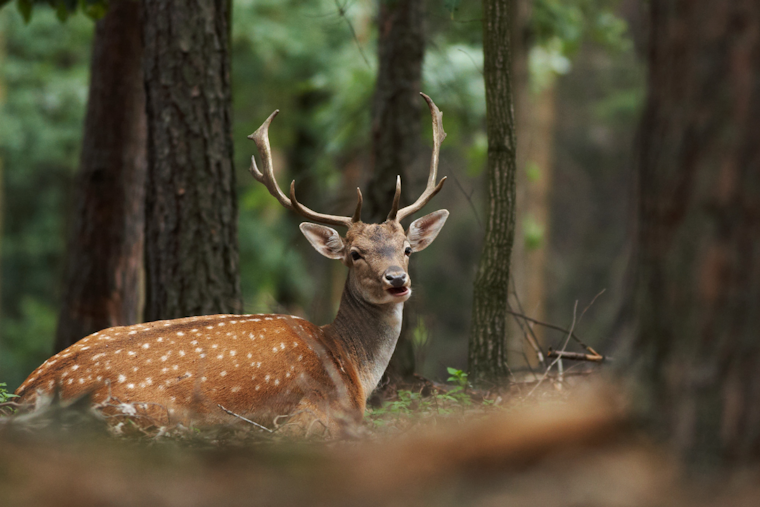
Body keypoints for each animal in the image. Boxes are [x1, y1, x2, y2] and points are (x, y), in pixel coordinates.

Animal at [14, 93, 449, 435]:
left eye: (406, 249)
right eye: (355, 254)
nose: (397, 280)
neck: (352, 367)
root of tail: (26, 394)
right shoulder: (316, 413)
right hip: (147, 413)